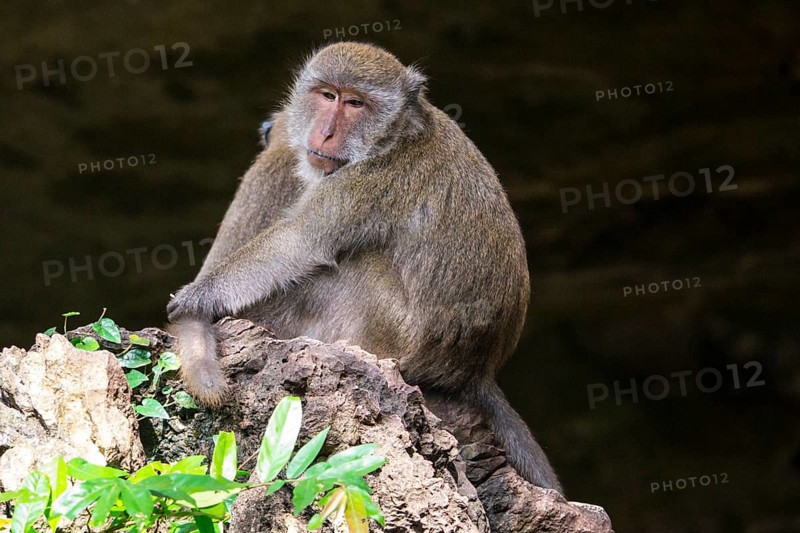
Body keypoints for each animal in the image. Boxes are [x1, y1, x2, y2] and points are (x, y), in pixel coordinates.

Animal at [167, 42, 562, 492]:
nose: (324, 133)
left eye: (355, 103)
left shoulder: (370, 181)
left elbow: (300, 242)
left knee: (346, 267)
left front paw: (196, 300)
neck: (395, 137)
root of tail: (475, 370)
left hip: (389, 333)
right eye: (327, 95)